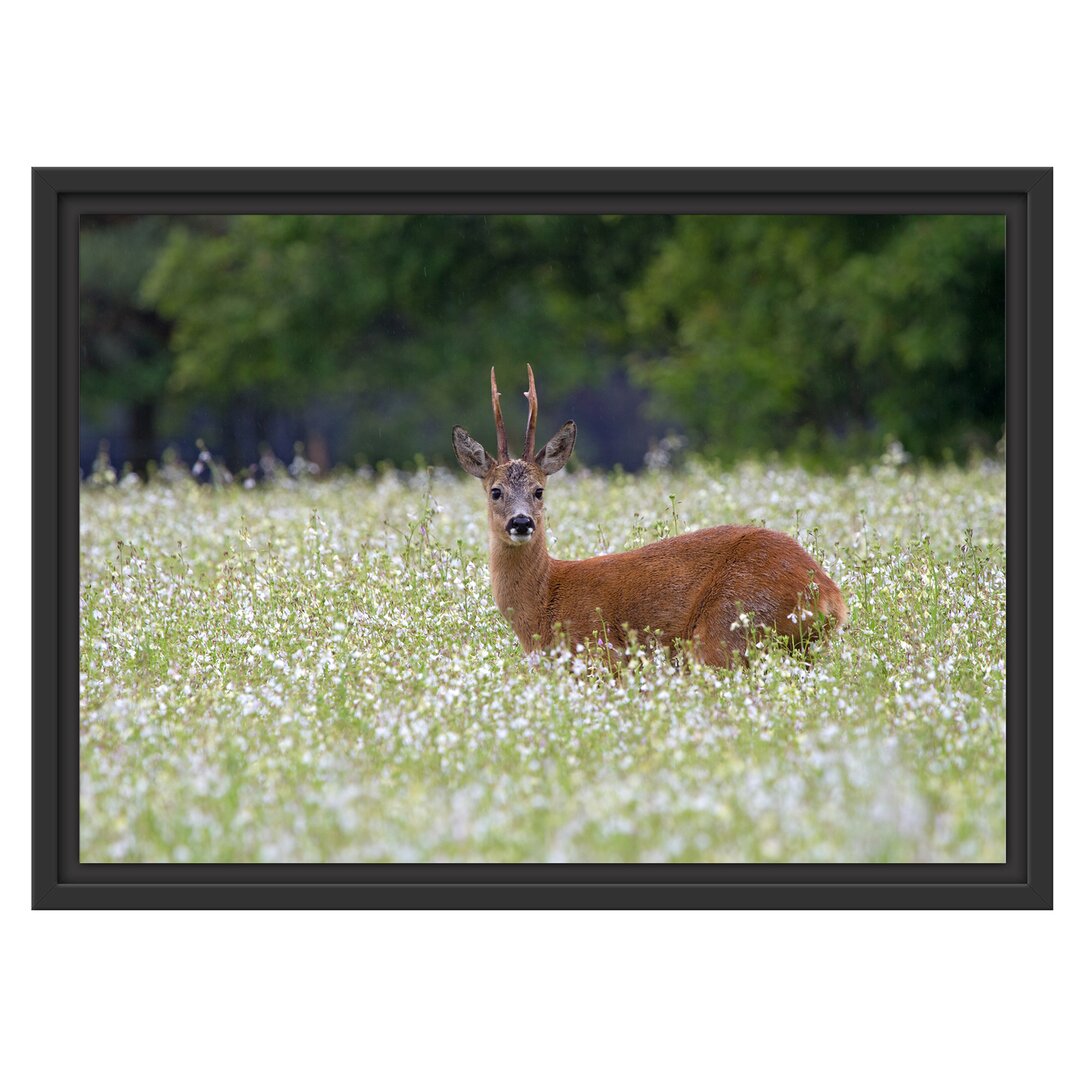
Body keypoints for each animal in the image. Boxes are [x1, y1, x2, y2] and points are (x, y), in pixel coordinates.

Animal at [451, 365, 846, 665]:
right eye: (495, 491)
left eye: (539, 491)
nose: (521, 522)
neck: (545, 602)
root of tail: (830, 596)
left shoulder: (599, 654)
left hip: (728, 627)